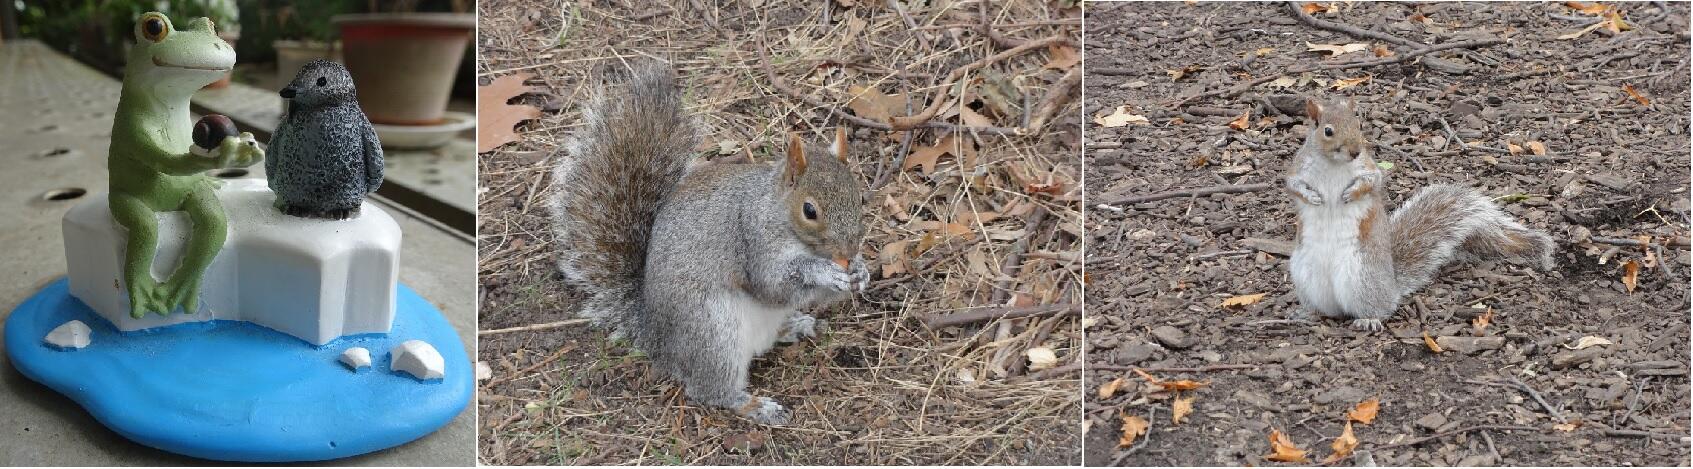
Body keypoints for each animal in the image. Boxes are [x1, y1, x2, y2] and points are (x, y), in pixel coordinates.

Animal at [545, 60, 866, 423]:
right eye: (809, 210)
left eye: (859, 196)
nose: (848, 251)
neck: (777, 213)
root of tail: (656, 336)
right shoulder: (752, 241)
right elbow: (773, 285)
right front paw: (824, 272)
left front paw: (860, 271)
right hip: (714, 333)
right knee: (711, 391)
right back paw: (755, 405)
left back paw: (794, 325)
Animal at [1286, 98, 1550, 330]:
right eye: (1328, 131)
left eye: (1359, 124)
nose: (1355, 151)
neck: (1334, 164)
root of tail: (1391, 285)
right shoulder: (1298, 169)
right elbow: (1293, 186)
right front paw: (1313, 197)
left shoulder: (1368, 168)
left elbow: (1371, 182)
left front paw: (1350, 193)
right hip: (1304, 275)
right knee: (1326, 309)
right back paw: (1307, 313)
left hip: (1362, 276)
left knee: (1378, 308)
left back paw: (1369, 319)